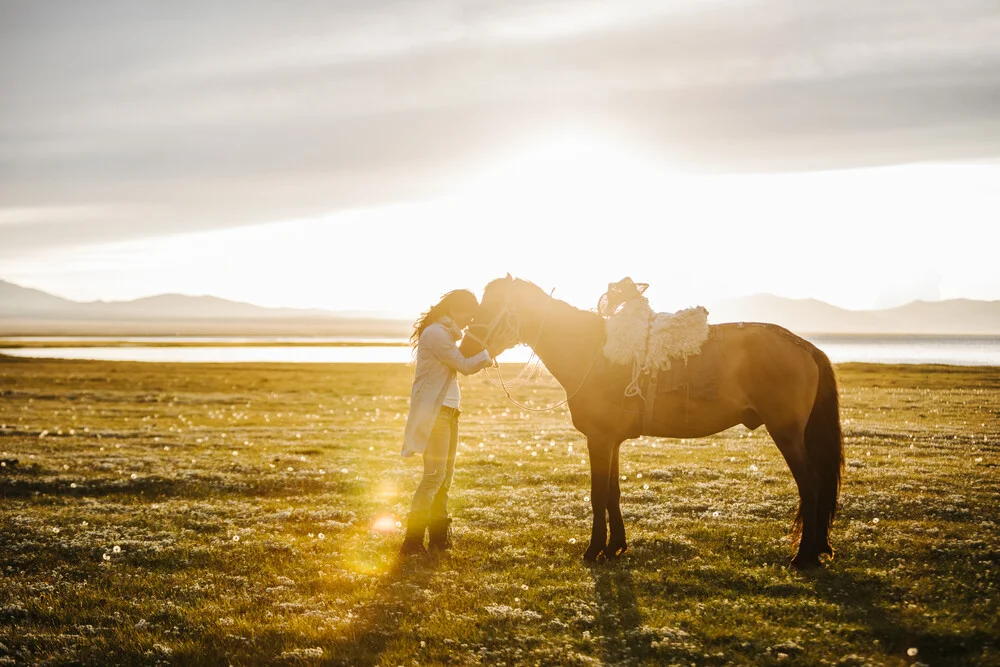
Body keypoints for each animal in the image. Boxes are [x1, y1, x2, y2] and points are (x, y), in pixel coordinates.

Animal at [460, 276, 844, 568]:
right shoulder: (611, 441)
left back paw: (805, 556)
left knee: (810, 485)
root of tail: (804, 345)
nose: (465, 350)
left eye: (491, 308)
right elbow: (612, 493)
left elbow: (597, 495)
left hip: (787, 434)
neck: (593, 351)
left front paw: (593, 550)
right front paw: (615, 546)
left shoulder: (598, 440)